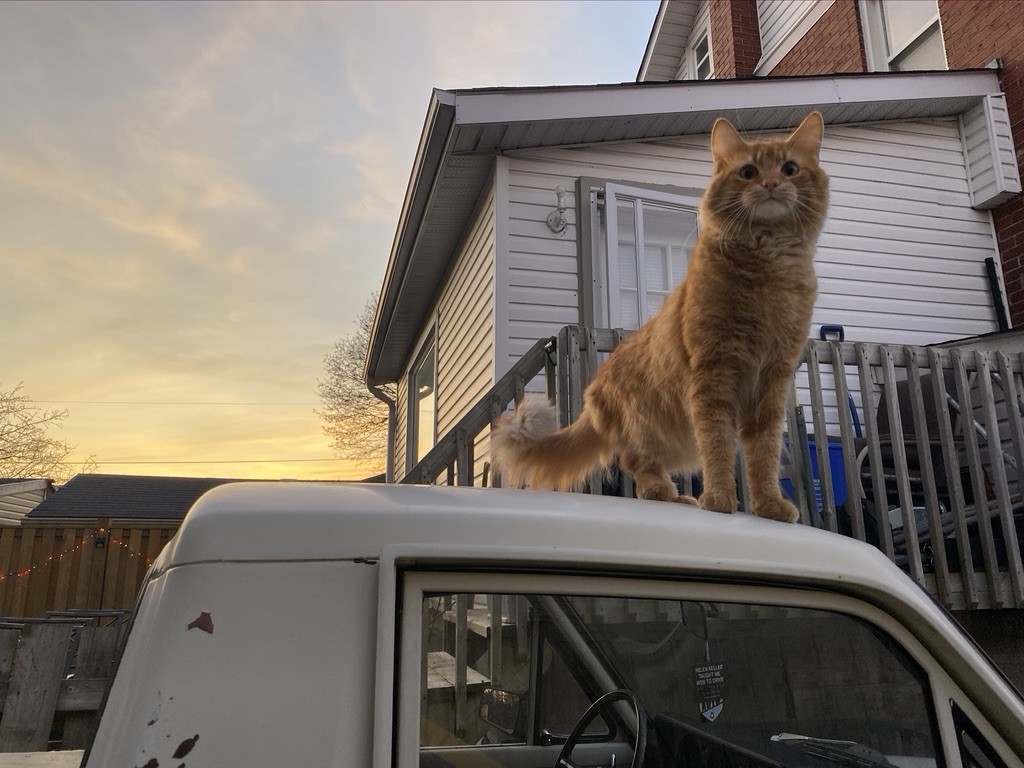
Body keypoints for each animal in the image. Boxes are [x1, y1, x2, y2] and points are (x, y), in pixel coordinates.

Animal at [491, 112, 827, 524]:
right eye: (748, 172)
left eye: (789, 169)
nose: (771, 183)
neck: (768, 268)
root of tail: (593, 392)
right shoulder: (713, 376)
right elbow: (718, 448)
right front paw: (720, 499)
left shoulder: (773, 381)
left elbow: (762, 456)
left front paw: (768, 506)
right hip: (647, 428)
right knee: (637, 468)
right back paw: (666, 492)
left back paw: (677, 497)